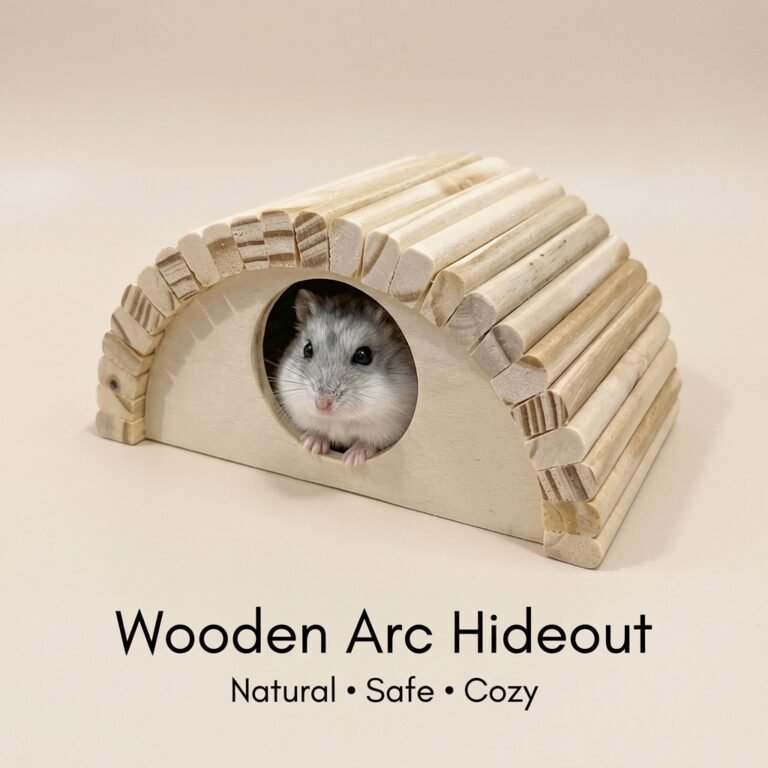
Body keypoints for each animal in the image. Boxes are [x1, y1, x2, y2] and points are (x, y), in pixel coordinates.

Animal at [275, 289, 418, 467]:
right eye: (307, 349)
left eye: (363, 355)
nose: (322, 405)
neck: (341, 419)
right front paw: (311, 445)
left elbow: (368, 443)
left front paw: (351, 460)